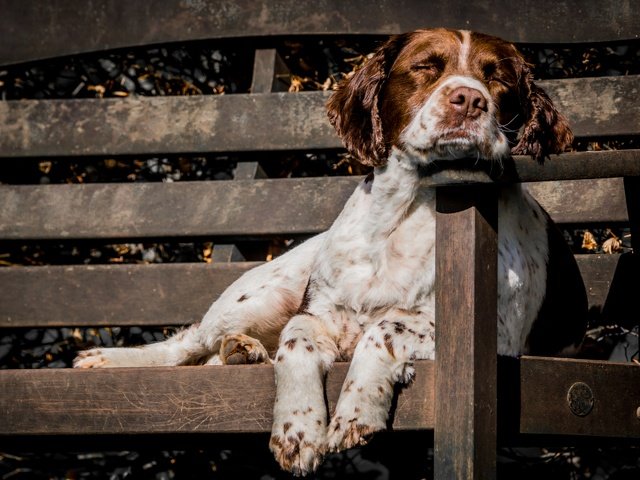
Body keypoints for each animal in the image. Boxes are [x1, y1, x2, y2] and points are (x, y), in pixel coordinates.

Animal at [74, 30, 584, 476]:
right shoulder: (317, 312)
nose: (470, 99)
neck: (407, 211)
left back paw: (241, 352)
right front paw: (296, 430)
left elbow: (384, 327)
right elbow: (295, 340)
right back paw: (115, 359)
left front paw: (357, 410)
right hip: (258, 295)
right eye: (425, 67)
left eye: (498, 78)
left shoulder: (497, 336)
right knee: (189, 343)